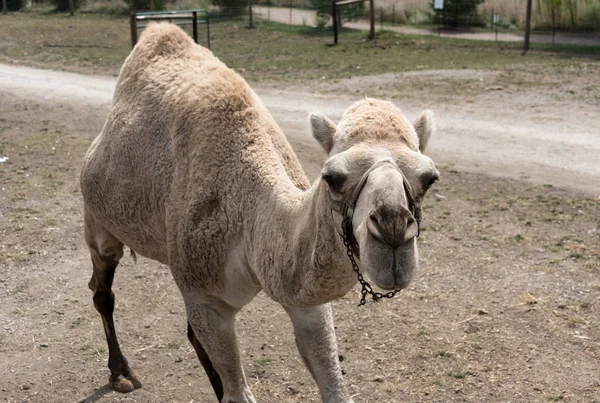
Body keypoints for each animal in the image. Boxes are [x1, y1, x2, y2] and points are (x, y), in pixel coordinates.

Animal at [78, 22, 440, 403]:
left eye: (429, 178)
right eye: (332, 178)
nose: (393, 231)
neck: (251, 221)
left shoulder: (305, 301)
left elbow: (333, 385)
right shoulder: (205, 295)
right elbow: (237, 392)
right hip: (98, 218)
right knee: (102, 289)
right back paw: (121, 373)